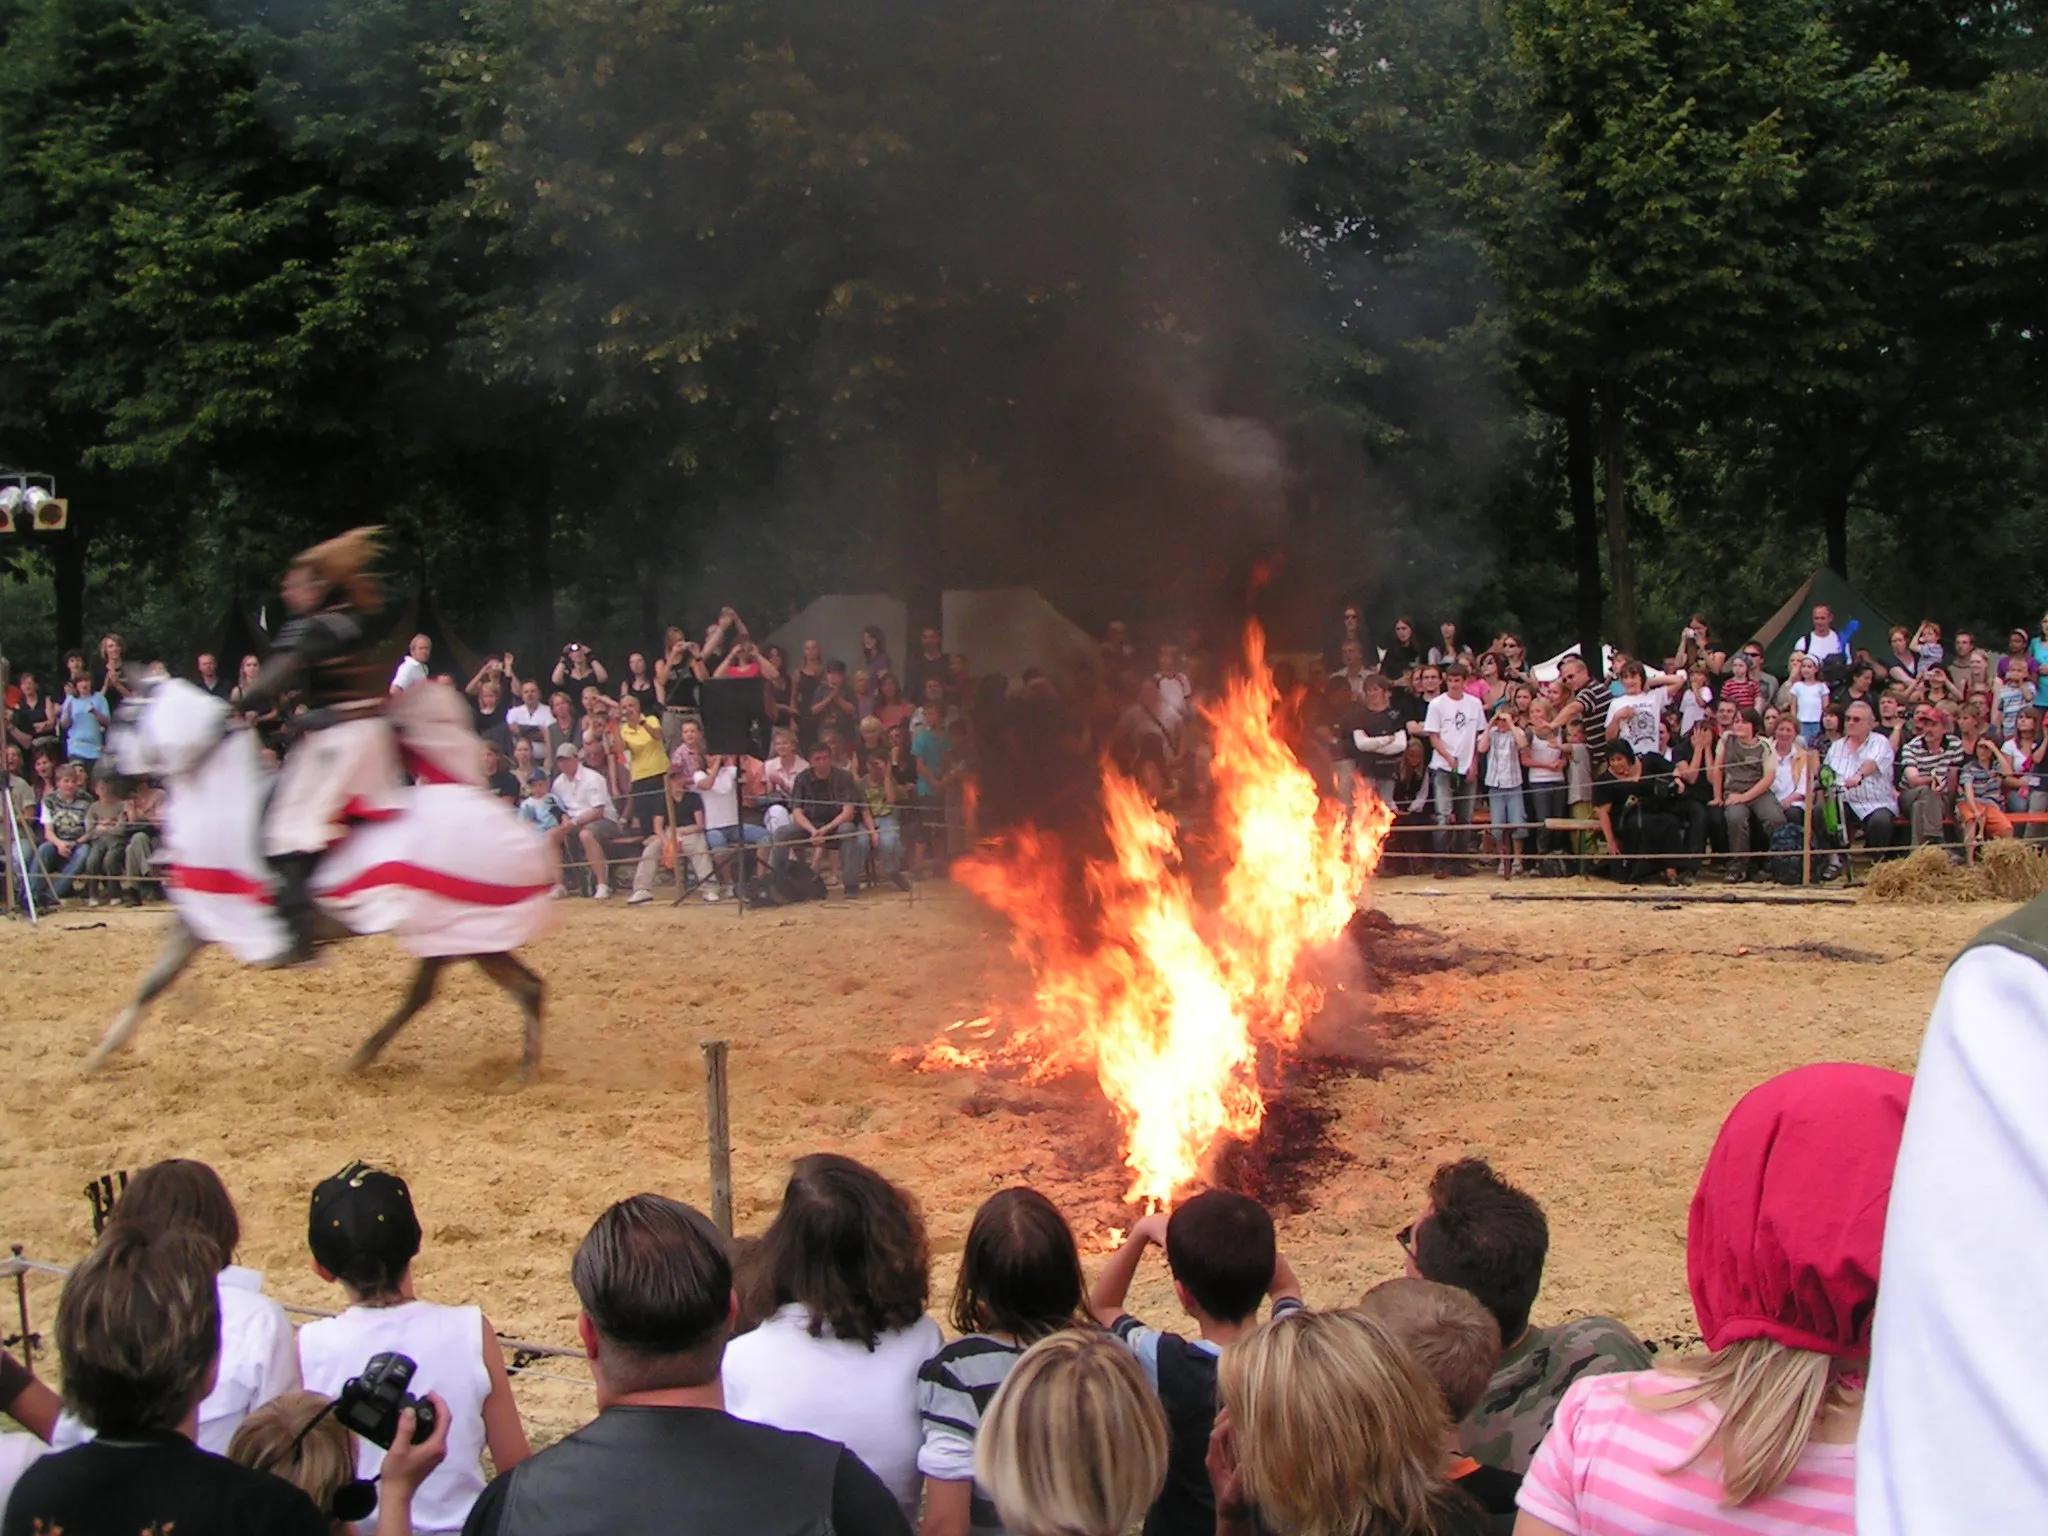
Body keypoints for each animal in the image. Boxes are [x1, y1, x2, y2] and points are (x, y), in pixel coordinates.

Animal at [89, 684, 561, 1081]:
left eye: (124, 720)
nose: (102, 775)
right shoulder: (199, 917)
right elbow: (156, 980)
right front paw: (105, 1053)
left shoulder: (210, 913)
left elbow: (155, 981)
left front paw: (101, 1054)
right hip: (463, 935)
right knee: (519, 988)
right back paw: (518, 1070)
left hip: (458, 930)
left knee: (439, 994)